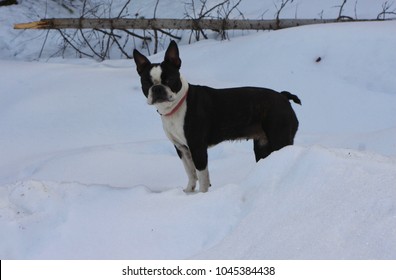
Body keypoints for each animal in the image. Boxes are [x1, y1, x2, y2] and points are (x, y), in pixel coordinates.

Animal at [133, 40, 300, 192]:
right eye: (146, 83)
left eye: (169, 80)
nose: (157, 88)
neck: (177, 105)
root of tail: (283, 96)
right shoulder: (181, 148)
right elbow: (190, 172)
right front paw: (188, 192)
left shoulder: (197, 147)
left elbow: (202, 175)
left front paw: (202, 195)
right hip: (262, 145)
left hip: (279, 137)